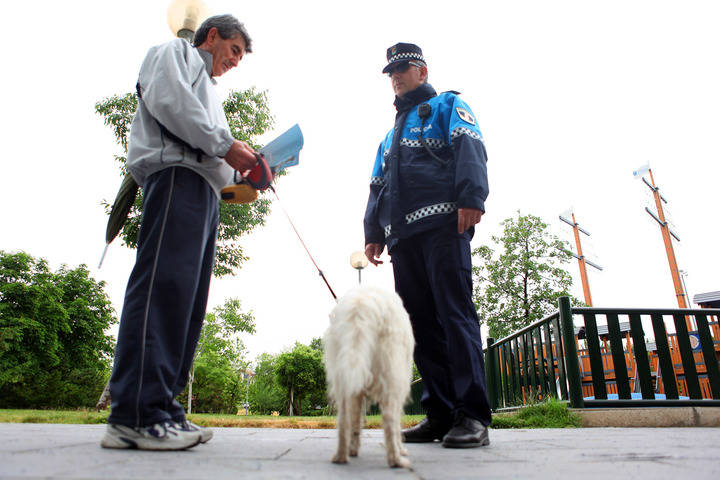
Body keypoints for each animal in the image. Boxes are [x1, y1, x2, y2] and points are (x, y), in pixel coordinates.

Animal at [324, 286, 414, 466]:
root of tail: (362, 307)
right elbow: (396, 422)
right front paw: (401, 449)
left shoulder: (356, 391)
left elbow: (355, 422)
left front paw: (353, 449)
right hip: (390, 374)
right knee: (389, 419)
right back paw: (396, 460)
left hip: (343, 376)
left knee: (343, 420)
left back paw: (341, 456)